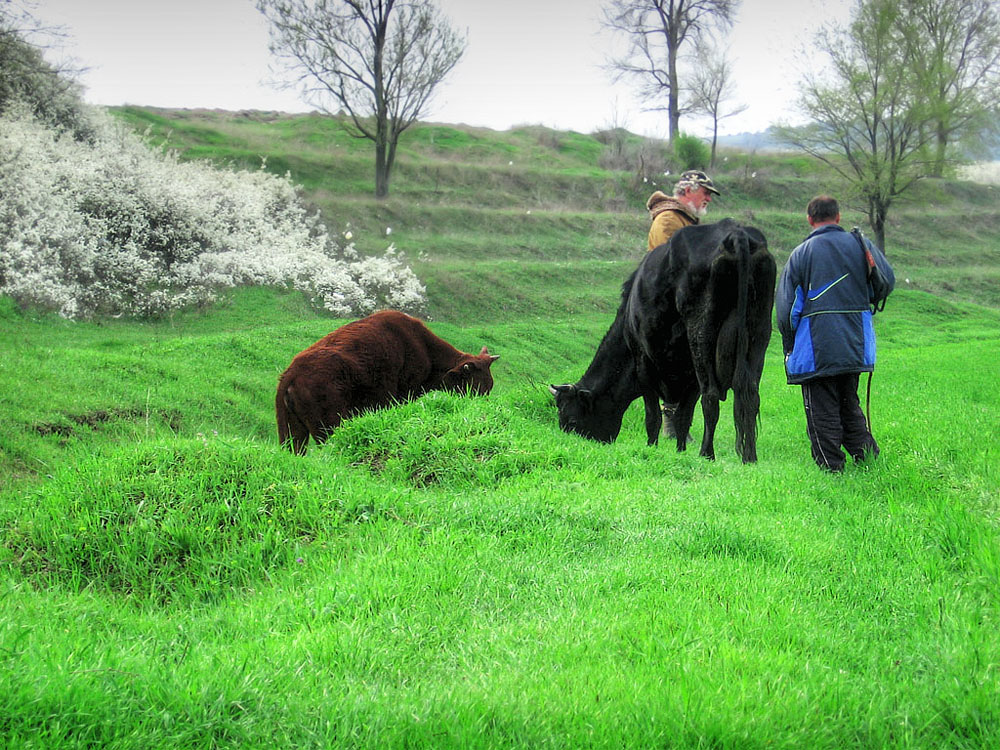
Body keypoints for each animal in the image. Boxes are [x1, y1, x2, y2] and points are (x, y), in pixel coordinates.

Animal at [278, 310, 500, 456]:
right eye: (478, 387)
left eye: (490, 386)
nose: (483, 412)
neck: (424, 349)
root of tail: (291, 375)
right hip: (329, 426)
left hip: (291, 432)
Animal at [552, 219, 776, 464]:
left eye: (572, 421)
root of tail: (735, 232)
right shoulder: (690, 378)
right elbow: (683, 417)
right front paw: (680, 451)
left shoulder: (644, 365)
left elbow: (653, 416)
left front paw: (652, 447)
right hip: (759, 332)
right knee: (750, 395)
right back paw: (749, 457)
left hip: (702, 335)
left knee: (711, 396)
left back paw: (707, 454)